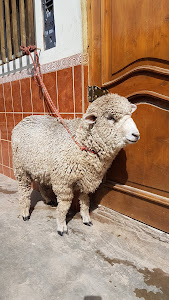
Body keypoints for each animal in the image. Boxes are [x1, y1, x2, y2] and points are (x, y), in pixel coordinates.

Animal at [11, 93, 139, 234]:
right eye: (110, 117)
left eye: (130, 114)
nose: (136, 134)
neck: (81, 142)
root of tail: (25, 119)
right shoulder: (63, 181)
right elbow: (65, 204)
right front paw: (61, 226)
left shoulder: (87, 178)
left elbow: (85, 200)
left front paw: (86, 218)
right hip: (20, 167)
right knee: (24, 189)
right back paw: (25, 212)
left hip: (40, 166)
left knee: (41, 183)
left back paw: (48, 200)